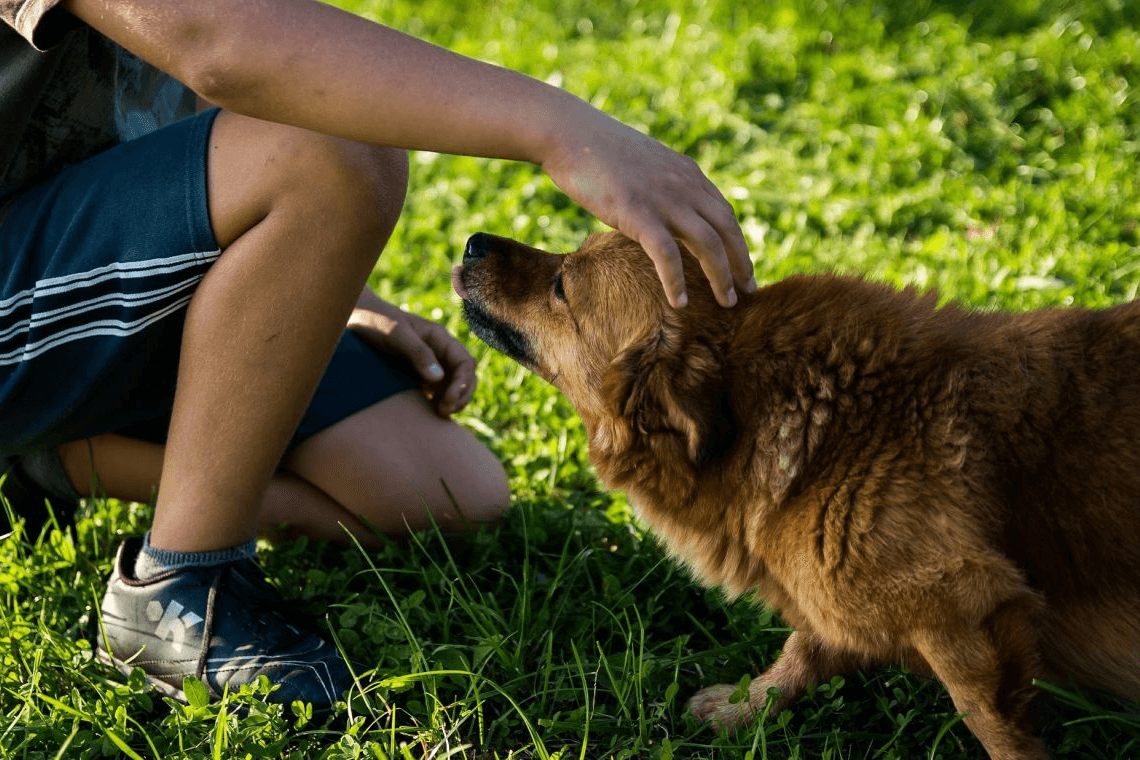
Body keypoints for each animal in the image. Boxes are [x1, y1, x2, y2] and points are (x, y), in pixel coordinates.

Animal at [451, 232, 1140, 760]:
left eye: (562, 284)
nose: (474, 241)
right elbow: (804, 648)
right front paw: (746, 708)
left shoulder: (963, 606)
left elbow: (992, 725)